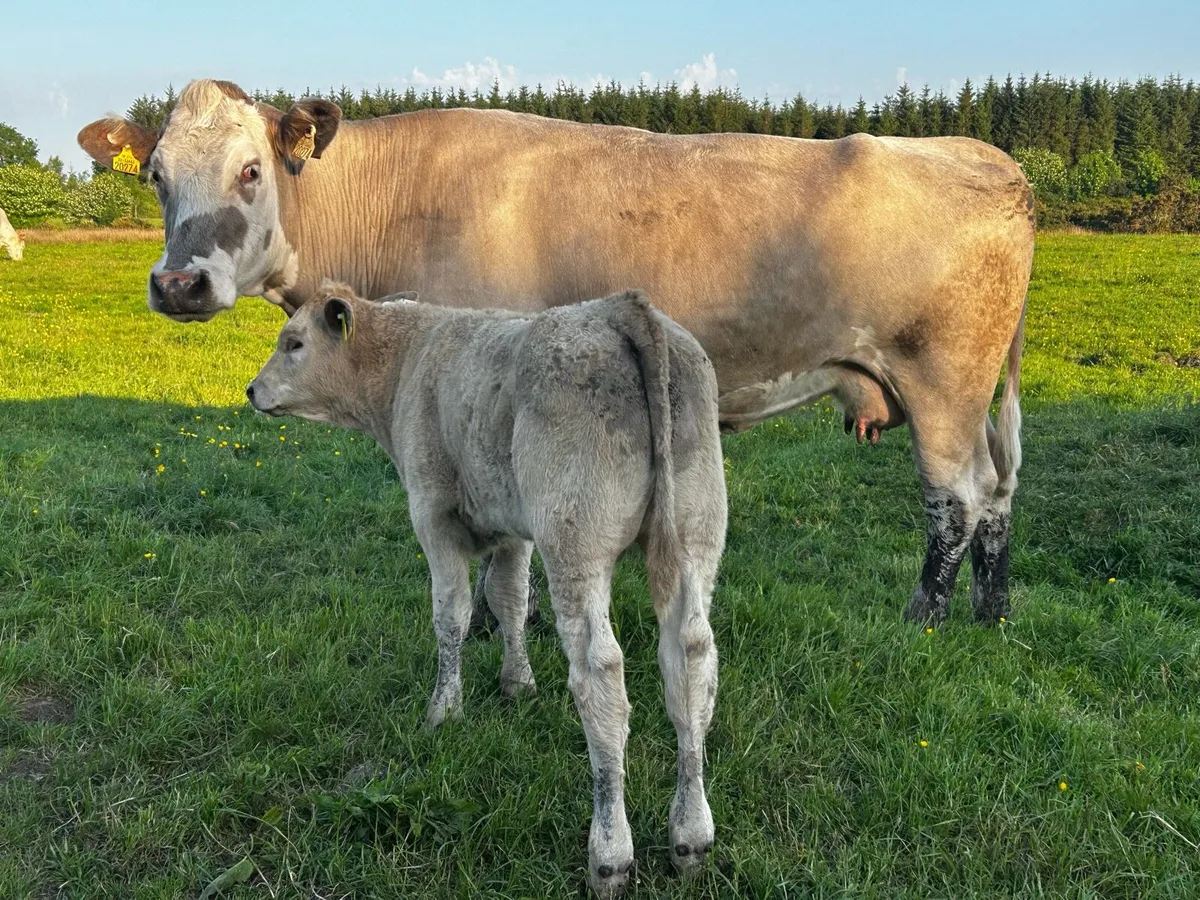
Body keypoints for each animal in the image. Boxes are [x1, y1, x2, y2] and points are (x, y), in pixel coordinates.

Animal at [79, 78, 1033, 626]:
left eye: (250, 171)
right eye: (156, 175)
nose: (178, 284)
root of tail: (991, 160)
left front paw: (507, 622)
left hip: (943, 380)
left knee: (956, 497)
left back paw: (926, 615)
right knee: (997, 492)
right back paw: (990, 611)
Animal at [247, 284, 728, 897]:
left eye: (294, 343)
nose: (251, 390)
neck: (408, 359)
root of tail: (621, 307)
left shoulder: (434, 514)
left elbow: (450, 615)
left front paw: (444, 710)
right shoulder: (512, 528)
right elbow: (509, 600)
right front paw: (517, 683)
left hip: (575, 540)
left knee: (600, 676)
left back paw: (610, 852)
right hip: (695, 531)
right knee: (691, 662)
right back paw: (691, 835)